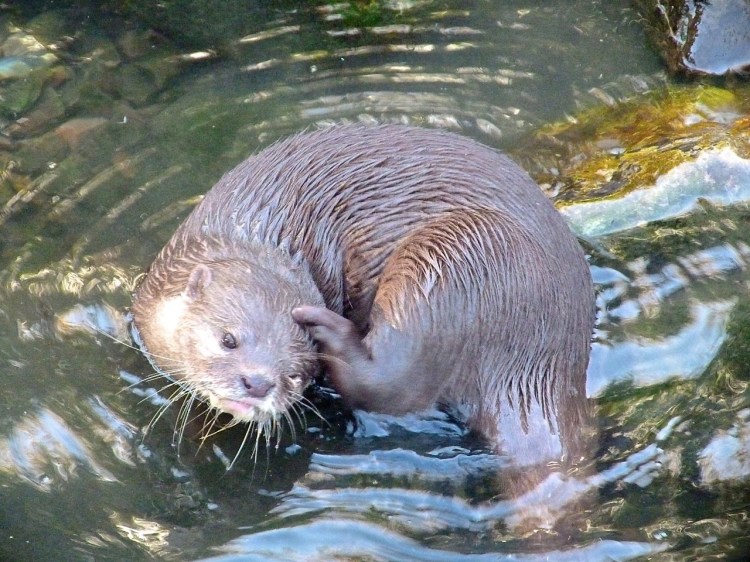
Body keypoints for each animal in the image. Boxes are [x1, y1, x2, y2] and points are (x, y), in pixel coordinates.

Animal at [130, 125, 595, 467]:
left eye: (295, 374)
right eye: (228, 339)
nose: (258, 383)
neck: (264, 238)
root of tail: (546, 359)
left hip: (457, 257)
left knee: (393, 382)